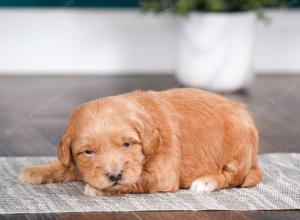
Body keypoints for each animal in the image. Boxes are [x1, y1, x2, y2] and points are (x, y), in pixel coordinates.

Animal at [19, 88, 262, 195]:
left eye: (127, 144)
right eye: (88, 152)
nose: (115, 175)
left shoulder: (163, 175)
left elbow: (137, 180)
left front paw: (97, 189)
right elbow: (66, 165)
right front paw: (35, 171)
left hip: (238, 144)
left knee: (233, 177)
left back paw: (205, 182)